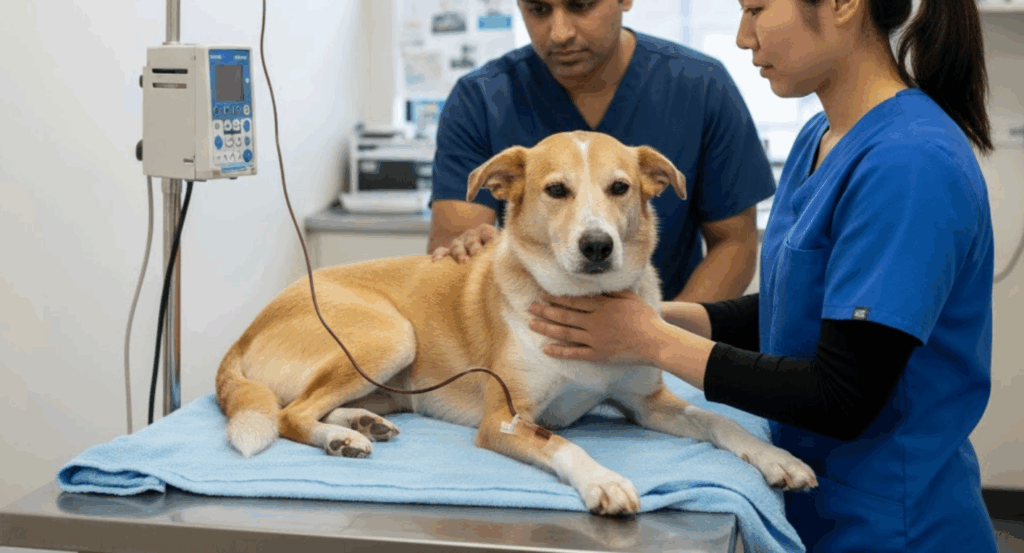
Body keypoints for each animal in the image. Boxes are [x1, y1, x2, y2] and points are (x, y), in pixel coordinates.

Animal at [216, 131, 817, 516]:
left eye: (620, 187)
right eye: (556, 190)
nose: (598, 246)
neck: (584, 302)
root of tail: (244, 333)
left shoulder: (648, 404)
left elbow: (722, 422)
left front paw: (776, 459)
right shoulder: (505, 418)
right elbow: (562, 443)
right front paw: (604, 481)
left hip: (392, 375)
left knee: (311, 405)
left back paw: (360, 424)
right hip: (390, 335)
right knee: (290, 414)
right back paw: (342, 438)